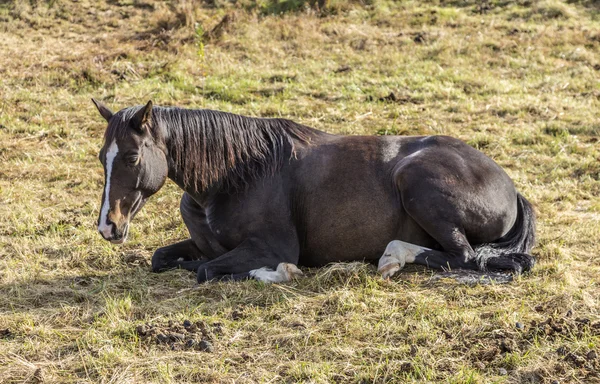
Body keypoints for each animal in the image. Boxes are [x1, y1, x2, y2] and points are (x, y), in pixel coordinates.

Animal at [95, 100, 540, 284]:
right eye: (102, 156)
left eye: (132, 157)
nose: (108, 227)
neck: (234, 177)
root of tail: (511, 188)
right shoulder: (206, 244)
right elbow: (163, 258)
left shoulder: (270, 247)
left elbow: (207, 271)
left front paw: (281, 273)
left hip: (416, 182)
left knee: (462, 256)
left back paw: (392, 258)